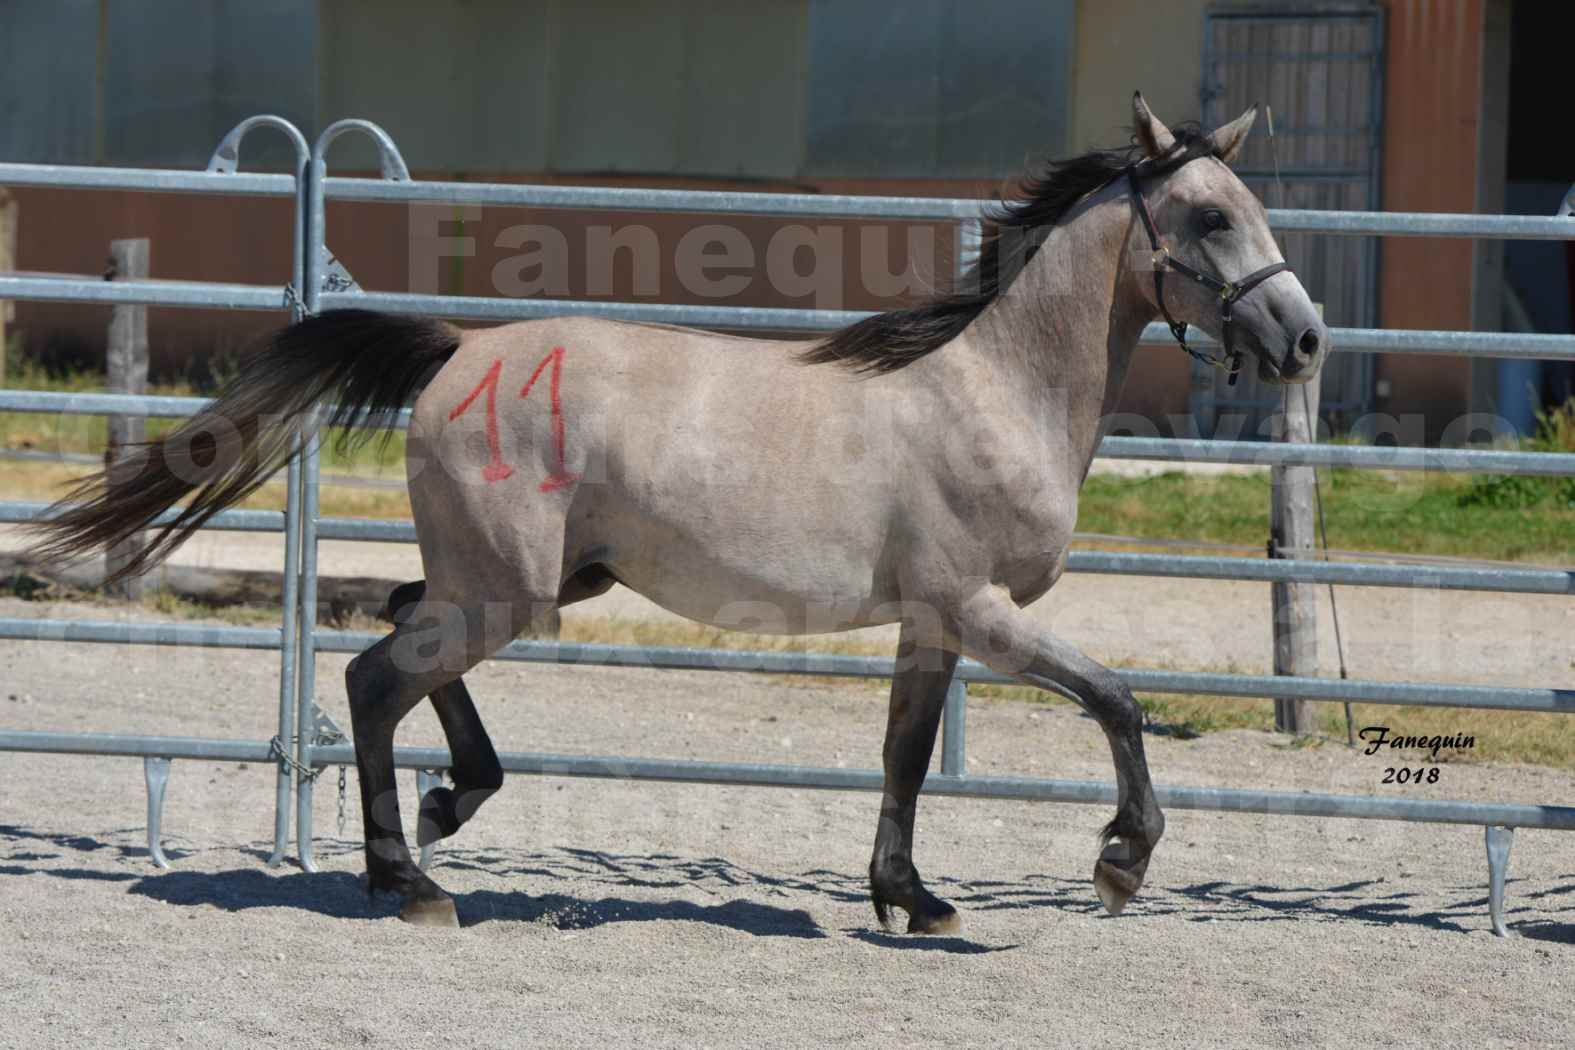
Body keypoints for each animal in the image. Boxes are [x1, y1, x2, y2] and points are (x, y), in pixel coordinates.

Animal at [30, 94, 1323, 931]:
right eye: (1211, 217)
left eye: (1247, 207)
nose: (1304, 337)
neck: (994, 387)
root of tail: (458, 351)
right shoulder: (979, 608)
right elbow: (1117, 700)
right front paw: (1120, 865)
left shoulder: (930, 622)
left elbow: (905, 754)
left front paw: (911, 899)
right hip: (506, 592)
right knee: (371, 678)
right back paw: (412, 880)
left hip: (527, 580)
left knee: (397, 629)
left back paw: (454, 805)